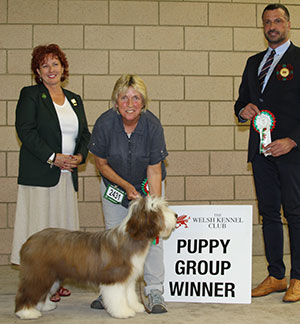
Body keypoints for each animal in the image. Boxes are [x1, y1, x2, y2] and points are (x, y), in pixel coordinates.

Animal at [14, 195, 178, 318]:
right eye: (158, 209)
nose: (176, 215)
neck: (132, 237)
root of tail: (29, 240)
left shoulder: (128, 278)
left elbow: (129, 294)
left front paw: (135, 307)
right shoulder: (114, 277)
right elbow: (118, 297)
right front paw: (123, 312)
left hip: (51, 275)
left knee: (42, 292)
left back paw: (45, 306)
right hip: (38, 273)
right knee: (27, 291)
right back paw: (26, 312)